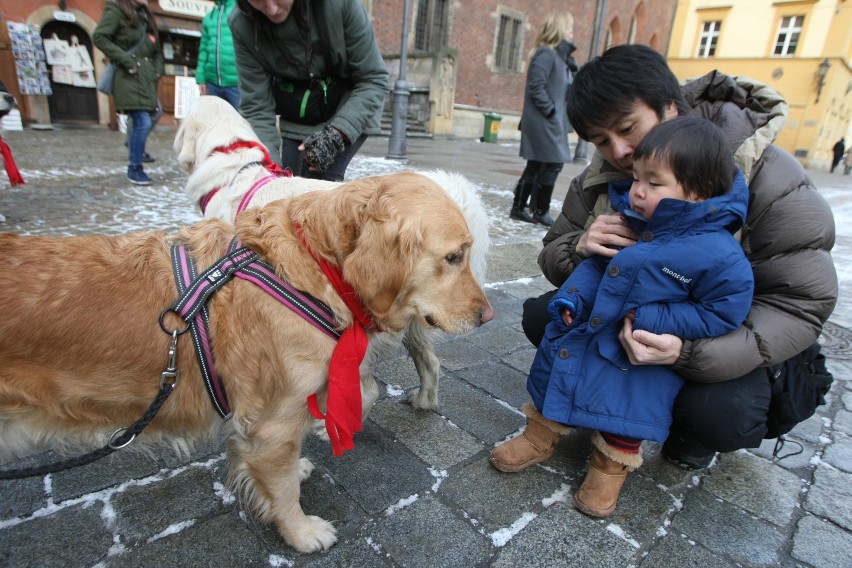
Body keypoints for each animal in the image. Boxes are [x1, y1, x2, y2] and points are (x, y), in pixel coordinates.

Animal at [0, 172, 492, 552]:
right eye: (453, 257)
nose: (488, 317)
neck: (311, 269)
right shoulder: (270, 424)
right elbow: (285, 489)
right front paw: (302, 533)